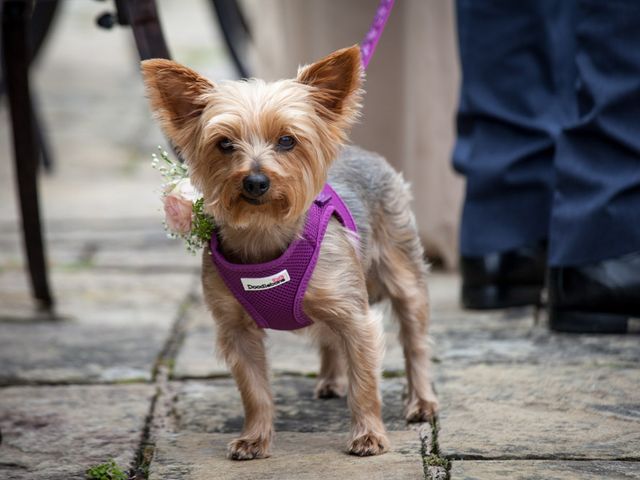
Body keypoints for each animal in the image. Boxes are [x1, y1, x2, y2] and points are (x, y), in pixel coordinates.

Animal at [142, 46, 438, 462]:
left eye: (286, 141)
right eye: (224, 144)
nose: (255, 181)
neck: (264, 235)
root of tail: (362, 153)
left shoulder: (355, 315)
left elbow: (365, 381)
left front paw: (368, 435)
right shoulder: (236, 330)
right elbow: (254, 390)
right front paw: (254, 439)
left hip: (403, 268)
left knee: (415, 341)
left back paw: (421, 402)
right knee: (329, 338)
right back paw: (331, 379)